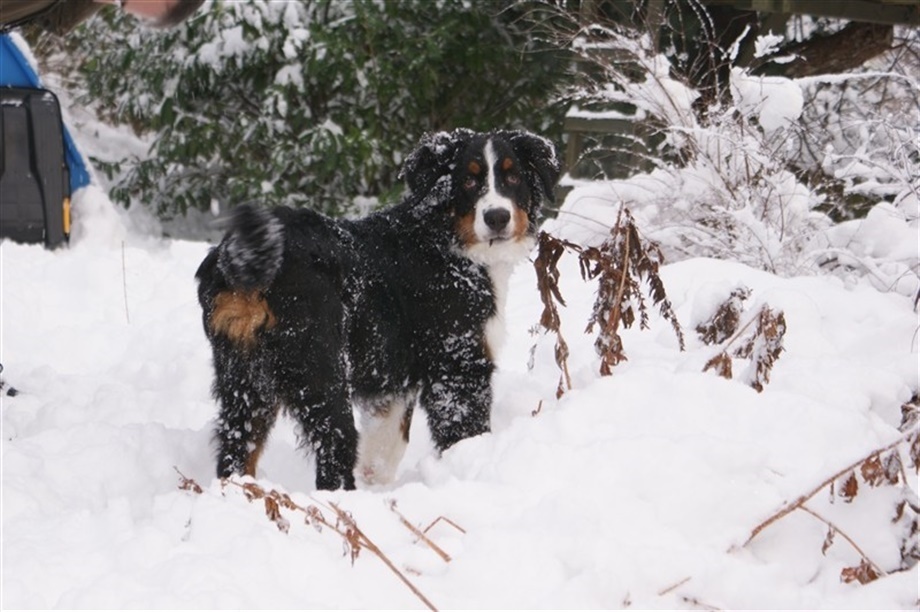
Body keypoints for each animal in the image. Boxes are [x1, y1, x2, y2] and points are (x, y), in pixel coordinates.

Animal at [195, 129, 560, 490]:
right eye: (468, 181)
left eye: (513, 176)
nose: (497, 217)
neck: (444, 242)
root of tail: (248, 254)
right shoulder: (457, 361)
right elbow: (462, 431)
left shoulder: (393, 376)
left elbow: (388, 441)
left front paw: (377, 482)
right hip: (320, 369)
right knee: (333, 449)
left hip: (245, 378)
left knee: (236, 448)